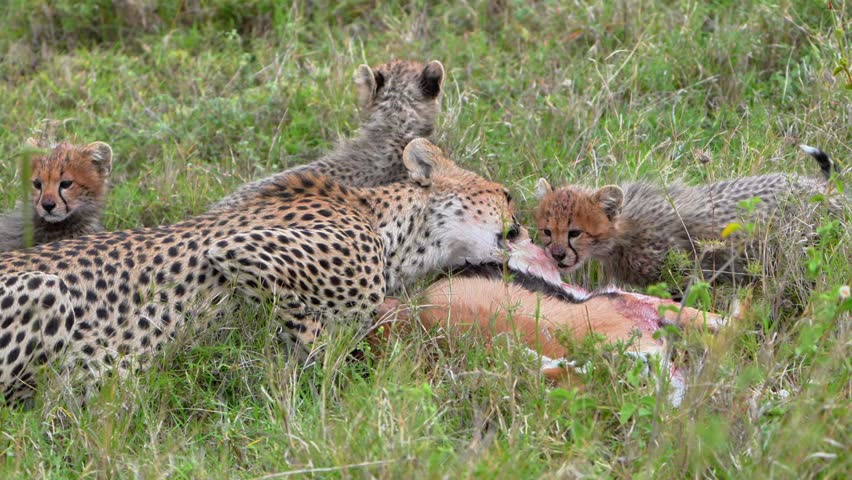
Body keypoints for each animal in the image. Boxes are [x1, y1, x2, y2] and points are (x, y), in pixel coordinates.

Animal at [0, 138, 522, 403]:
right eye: (506, 194)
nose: (522, 229)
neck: (386, 225)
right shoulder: (237, 250)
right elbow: (319, 342)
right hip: (44, 288)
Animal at [533, 145, 840, 287]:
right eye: (547, 231)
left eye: (575, 232)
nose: (557, 255)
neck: (621, 235)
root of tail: (822, 188)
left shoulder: (684, 277)